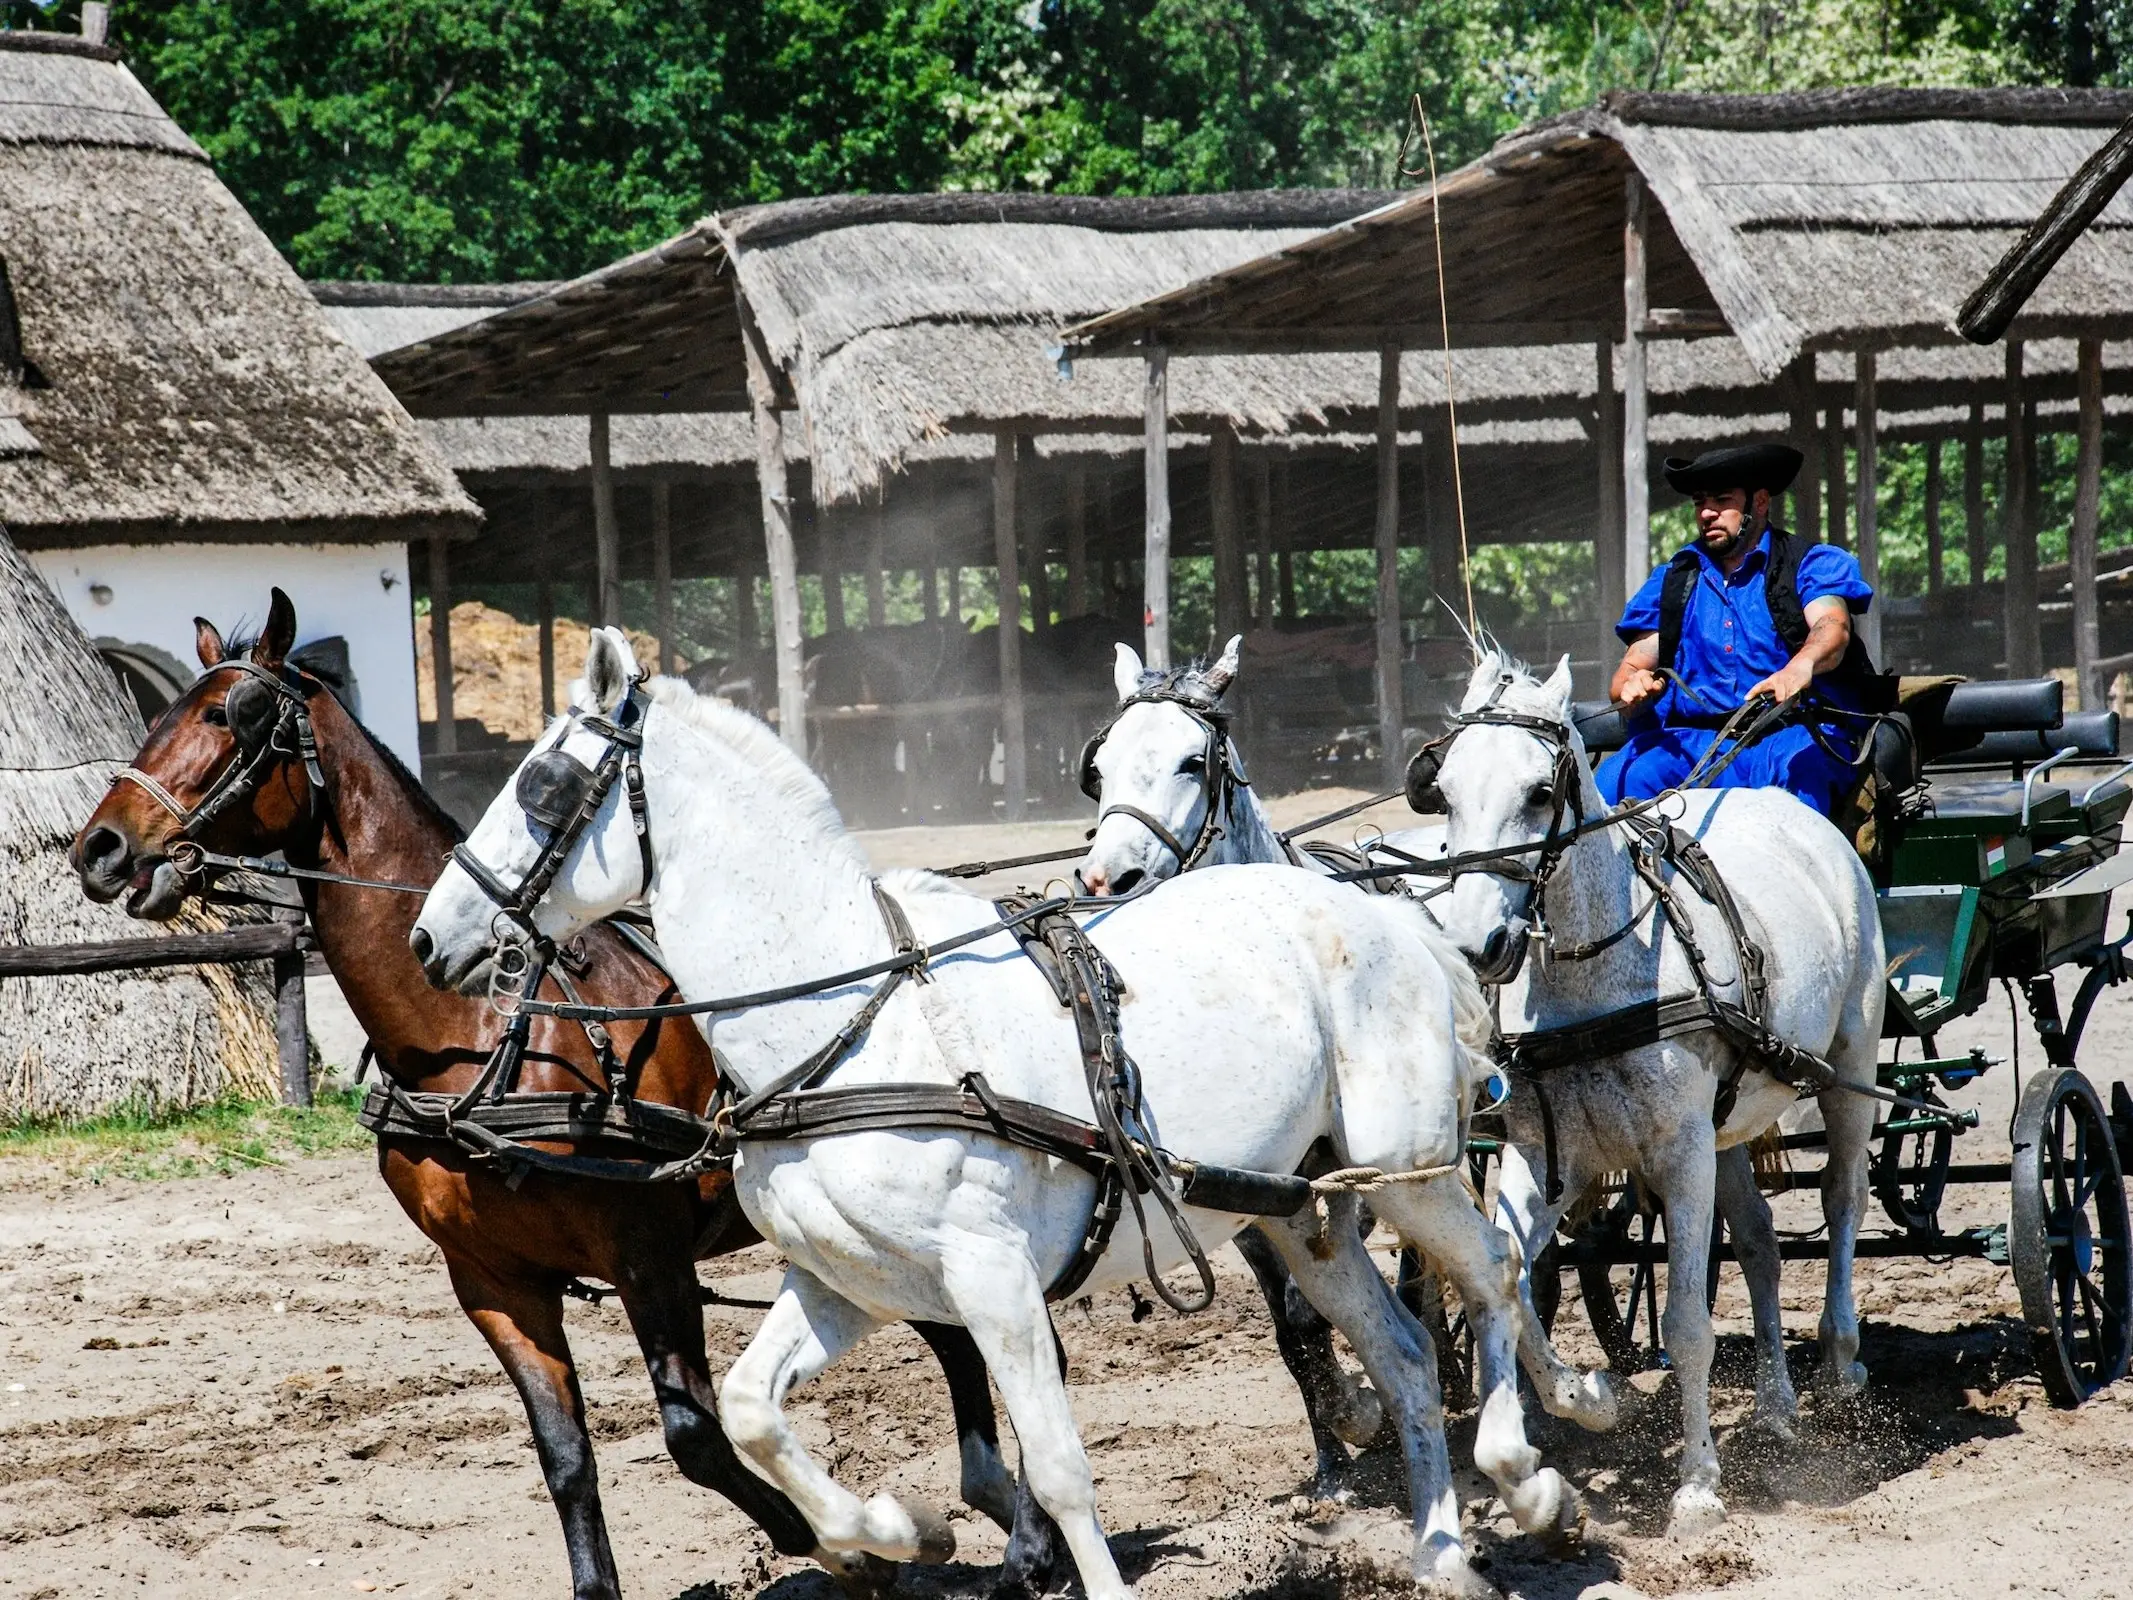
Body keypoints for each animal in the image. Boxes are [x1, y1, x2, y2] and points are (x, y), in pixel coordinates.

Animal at [75, 597, 1049, 1600]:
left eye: (227, 717)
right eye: (156, 714)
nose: (98, 848)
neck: (486, 1034)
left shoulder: (649, 1255)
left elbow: (694, 1437)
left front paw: (850, 1549)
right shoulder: (492, 1282)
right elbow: (565, 1458)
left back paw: (1025, 1540)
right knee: (952, 1336)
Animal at [411, 631, 1586, 1600]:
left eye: (543, 785)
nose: (429, 935)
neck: (851, 1024)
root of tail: (1398, 919)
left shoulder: (993, 1279)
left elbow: (1059, 1470)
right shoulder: (847, 1282)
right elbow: (750, 1409)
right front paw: (889, 1530)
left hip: (1407, 1171)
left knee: (1492, 1271)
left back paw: (1535, 1468)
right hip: (1303, 1209)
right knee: (1401, 1352)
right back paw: (1442, 1554)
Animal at [1424, 652, 1877, 1544]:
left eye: (1539, 791)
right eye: (1445, 790)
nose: (1474, 946)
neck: (1593, 978)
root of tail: (1796, 813)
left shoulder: (1678, 1153)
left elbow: (1686, 1324)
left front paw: (1697, 1487)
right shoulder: (1547, 1156)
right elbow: (1510, 1284)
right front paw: (1584, 1407)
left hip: (1846, 1066)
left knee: (1842, 1200)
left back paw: (1840, 1360)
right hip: (1726, 1130)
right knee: (1761, 1245)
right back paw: (1775, 1407)